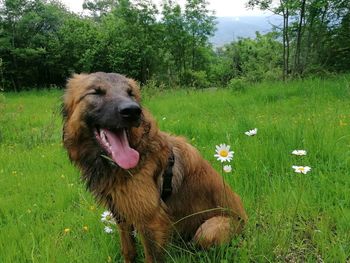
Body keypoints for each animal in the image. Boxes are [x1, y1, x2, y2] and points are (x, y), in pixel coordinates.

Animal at [61, 72, 247, 263]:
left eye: (130, 93)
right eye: (96, 92)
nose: (132, 111)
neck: (139, 149)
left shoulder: (151, 222)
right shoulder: (121, 214)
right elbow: (128, 251)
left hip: (210, 228)